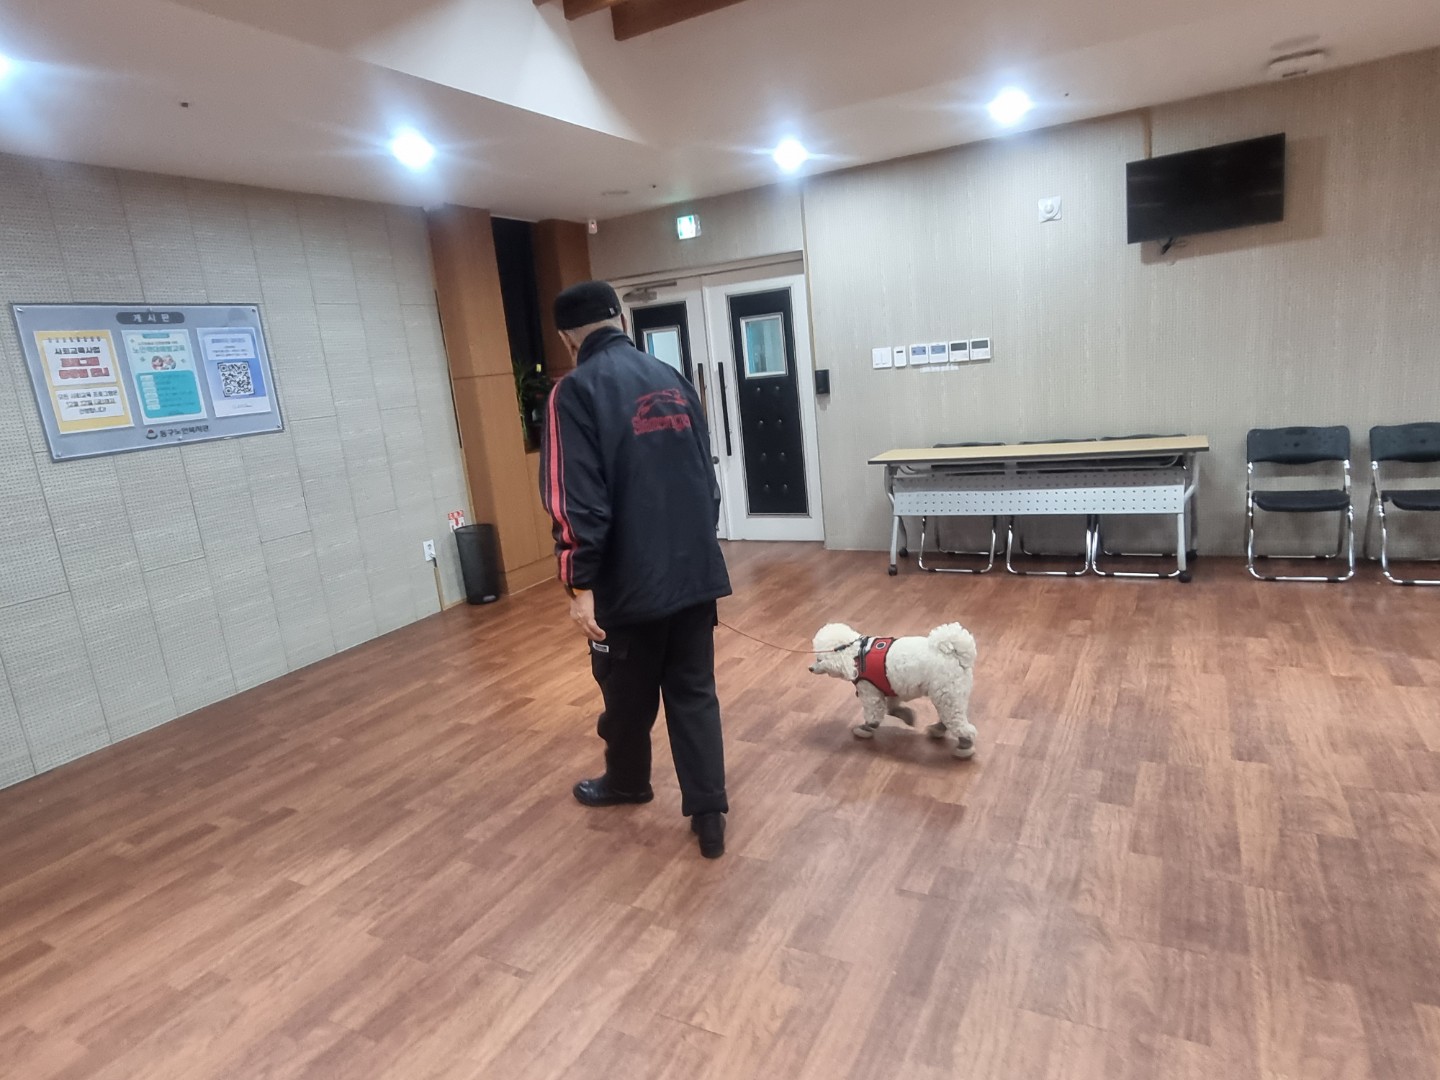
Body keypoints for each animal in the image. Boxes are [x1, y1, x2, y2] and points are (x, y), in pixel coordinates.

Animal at [809, 622, 978, 758]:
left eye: (819, 659)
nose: (810, 668)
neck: (857, 654)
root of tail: (956, 654)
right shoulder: (891, 687)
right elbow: (892, 708)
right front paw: (907, 716)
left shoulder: (870, 692)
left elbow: (874, 715)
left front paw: (866, 729)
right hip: (949, 696)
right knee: (949, 719)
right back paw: (937, 730)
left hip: (947, 694)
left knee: (959, 724)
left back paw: (964, 748)